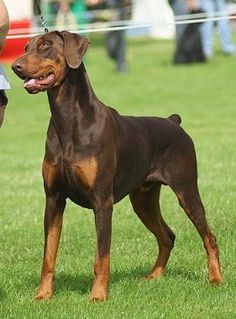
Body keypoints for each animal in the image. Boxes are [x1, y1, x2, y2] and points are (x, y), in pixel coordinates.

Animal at [11, 31, 221, 302]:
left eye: (45, 45)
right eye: (26, 47)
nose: (15, 66)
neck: (67, 120)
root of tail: (173, 122)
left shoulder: (102, 201)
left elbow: (102, 255)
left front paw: (98, 296)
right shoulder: (54, 199)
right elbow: (49, 254)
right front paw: (43, 295)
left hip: (186, 191)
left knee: (209, 237)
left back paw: (215, 279)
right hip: (143, 200)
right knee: (167, 236)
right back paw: (154, 276)